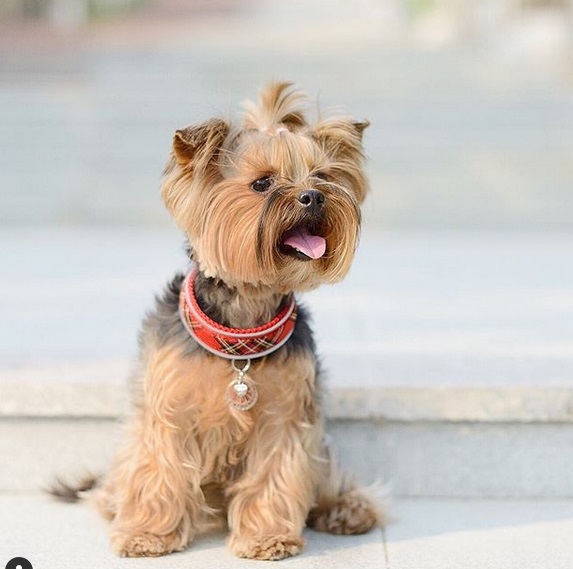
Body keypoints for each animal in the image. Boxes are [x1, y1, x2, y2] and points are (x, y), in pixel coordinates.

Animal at [52, 81, 380, 560]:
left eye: (322, 177)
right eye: (262, 183)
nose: (314, 196)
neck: (241, 328)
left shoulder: (285, 418)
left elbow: (274, 475)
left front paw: (267, 537)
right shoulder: (167, 408)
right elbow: (157, 467)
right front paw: (147, 533)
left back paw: (347, 508)